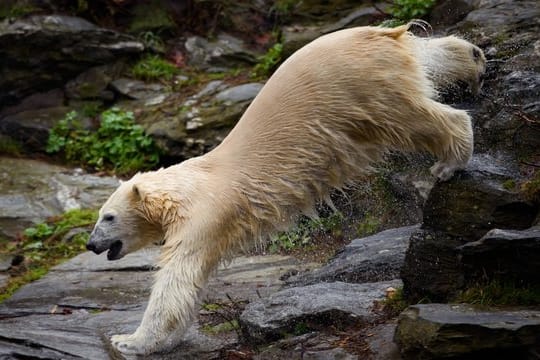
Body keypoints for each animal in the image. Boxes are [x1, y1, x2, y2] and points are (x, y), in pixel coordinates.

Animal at [87, 23, 486, 354]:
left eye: (107, 217)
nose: (91, 245)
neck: (190, 182)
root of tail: (381, 34)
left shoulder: (204, 215)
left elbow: (176, 279)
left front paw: (130, 340)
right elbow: (192, 283)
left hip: (363, 87)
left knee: (411, 117)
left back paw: (450, 160)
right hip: (384, 69)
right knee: (429, 58)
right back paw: (473, 59)